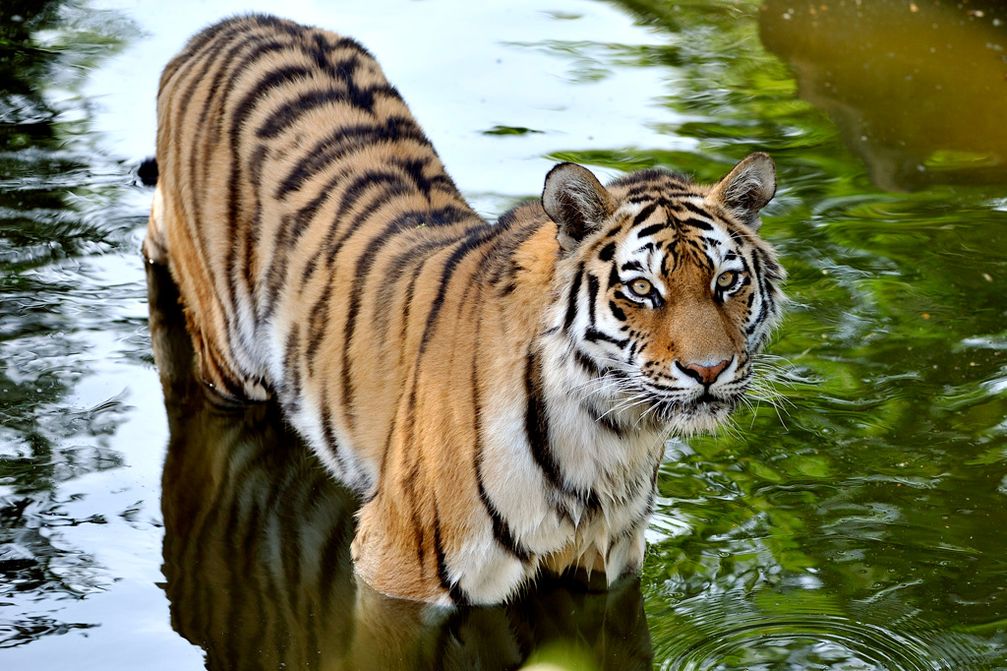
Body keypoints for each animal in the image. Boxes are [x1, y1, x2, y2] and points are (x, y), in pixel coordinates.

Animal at [144, 13, 785, 604]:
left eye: (727, 282)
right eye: (643, 289)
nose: (709, 371)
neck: (610, 438)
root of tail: (226, 25)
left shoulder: (608, 568)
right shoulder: (396, 567)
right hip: (231, 368)